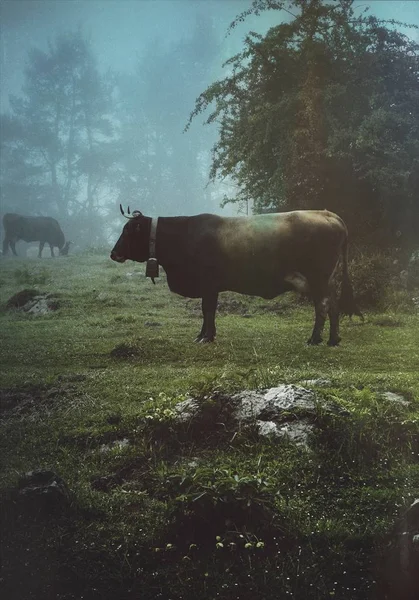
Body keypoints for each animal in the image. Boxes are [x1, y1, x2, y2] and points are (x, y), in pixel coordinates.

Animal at [111, 207, 364, 344]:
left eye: (127, 231)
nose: (113, 253)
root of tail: (327, 214)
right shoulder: (209, 287)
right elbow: (207, 311)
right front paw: (203, 335)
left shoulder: (208, 285)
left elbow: (208, 310)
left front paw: (206, 336)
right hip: (327, 279)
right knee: (333, 305)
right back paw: (332, 339)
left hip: (317, 277)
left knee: (323, 306)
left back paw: (314, 339)